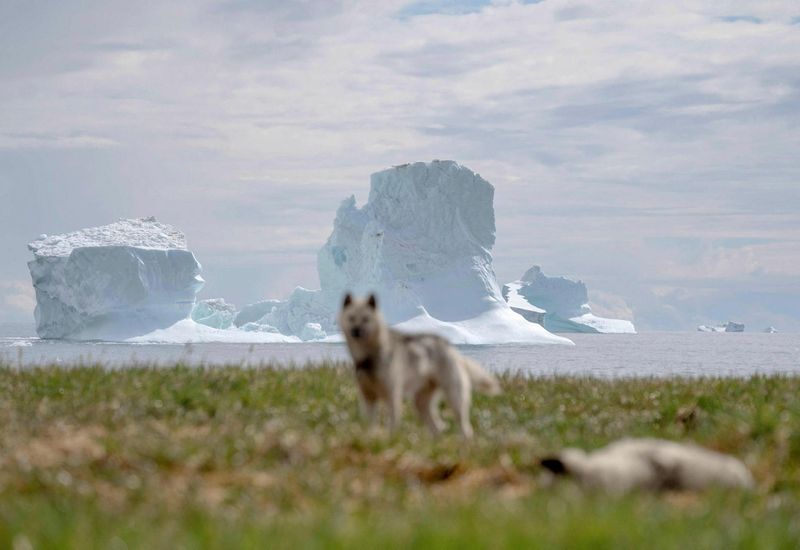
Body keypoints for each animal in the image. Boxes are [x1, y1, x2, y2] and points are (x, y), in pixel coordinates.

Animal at [338, 294, 500, 440]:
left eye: (366, 319)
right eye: (351, 318)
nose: (356, 331)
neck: (370, 357)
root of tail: (451, 349)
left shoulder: (392, 395)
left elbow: (393, 424)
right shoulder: (367, 396)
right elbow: (369, 425)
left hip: (454, 397)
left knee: (465, 428)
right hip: (420, 402)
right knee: (437, 428)